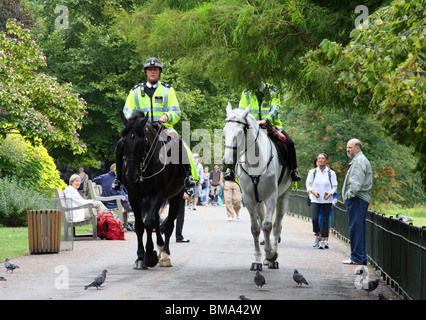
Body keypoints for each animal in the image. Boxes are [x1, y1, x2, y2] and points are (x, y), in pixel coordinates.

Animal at [120, 111, 186, 268]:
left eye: (143, 141)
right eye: (124, 141)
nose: (132, 175)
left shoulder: (158, 194)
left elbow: (149, 223)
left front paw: (149, 255)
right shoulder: (134, 197)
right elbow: (140, 225)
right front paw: (140, 257)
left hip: (175, 197)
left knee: (168, 225)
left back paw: (165, 254)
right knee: (156, 220)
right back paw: (160, 247)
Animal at [223, 104, 292, 272]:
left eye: (239, 133)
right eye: (224, 132)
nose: (227, 161)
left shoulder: (271, 196)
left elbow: (267, 226)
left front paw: (270, 254)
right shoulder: (248, 198)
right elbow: (255, 228)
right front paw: (257, 261)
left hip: (283, 197)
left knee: (277, 226)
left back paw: (272, 257)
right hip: (259, 200)